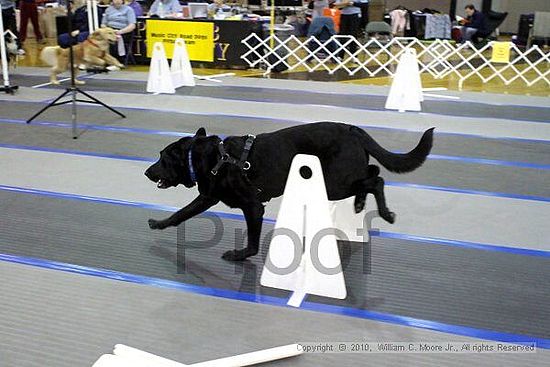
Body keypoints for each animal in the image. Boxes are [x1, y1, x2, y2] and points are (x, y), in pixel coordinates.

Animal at [147, 123, 436, 262]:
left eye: (162, 157)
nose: (147, 172)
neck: (210, 158)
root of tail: (352, 129)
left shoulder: (253, 207)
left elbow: (252, 243)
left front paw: (239, 256)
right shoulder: (208, 197)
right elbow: (180, 214)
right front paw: (159, 223)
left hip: (333, 183)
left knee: (377, 180)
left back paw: (385, 213)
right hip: (342, 177)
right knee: (373, 172)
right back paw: (359, 203)